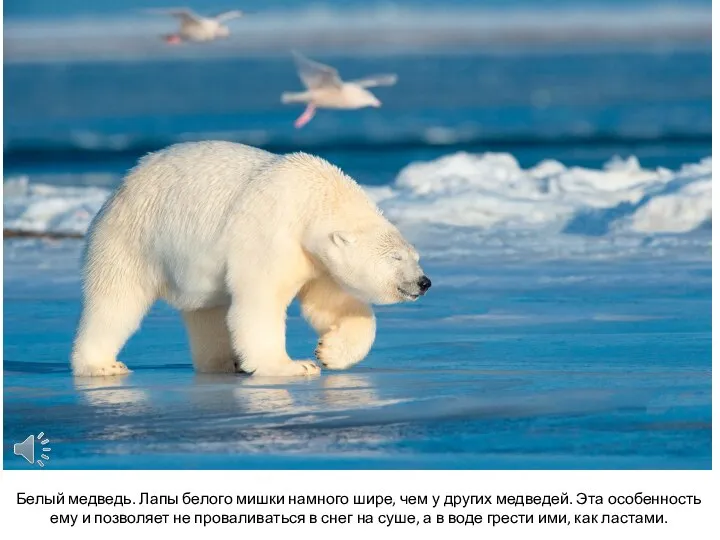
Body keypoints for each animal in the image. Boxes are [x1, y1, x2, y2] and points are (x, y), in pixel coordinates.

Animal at [71, 141, 434, 378]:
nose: (423, 282)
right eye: (395, 257)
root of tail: (119, 188)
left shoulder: (316, 259)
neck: (310, 199)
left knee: (207, 312)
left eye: (415, 255)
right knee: (116, 301)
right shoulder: (271, 232)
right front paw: (294, 365)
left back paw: (224, 362)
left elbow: (331, 303)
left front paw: (329, 351)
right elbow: (260, 302)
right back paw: (101, 364)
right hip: (133, 238)